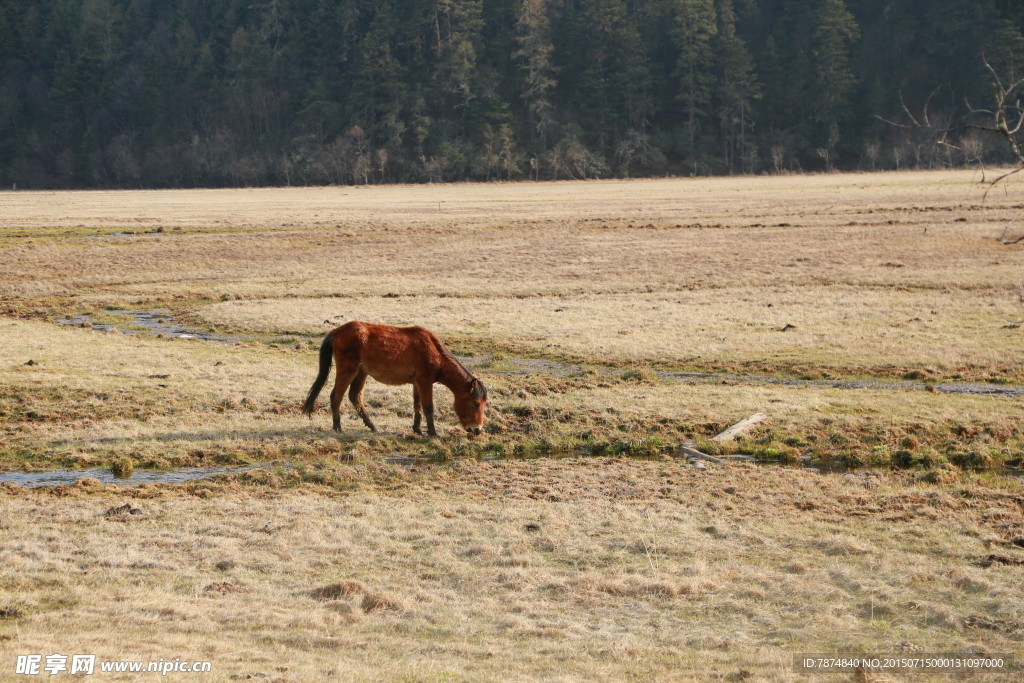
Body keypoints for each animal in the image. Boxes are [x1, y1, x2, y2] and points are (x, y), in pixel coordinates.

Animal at [299, 321, 487, 438]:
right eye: (475, 404)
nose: (477, 429)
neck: (434, 351)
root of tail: (337, 332)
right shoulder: (425, 382)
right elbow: (428, 408)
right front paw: (434, 434)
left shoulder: (417, 384)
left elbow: (417, 406)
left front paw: (418, 430)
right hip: (348, 370)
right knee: (336, 396)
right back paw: (338, 428)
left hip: (361, 372)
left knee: (355, 396)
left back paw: (372, 426)